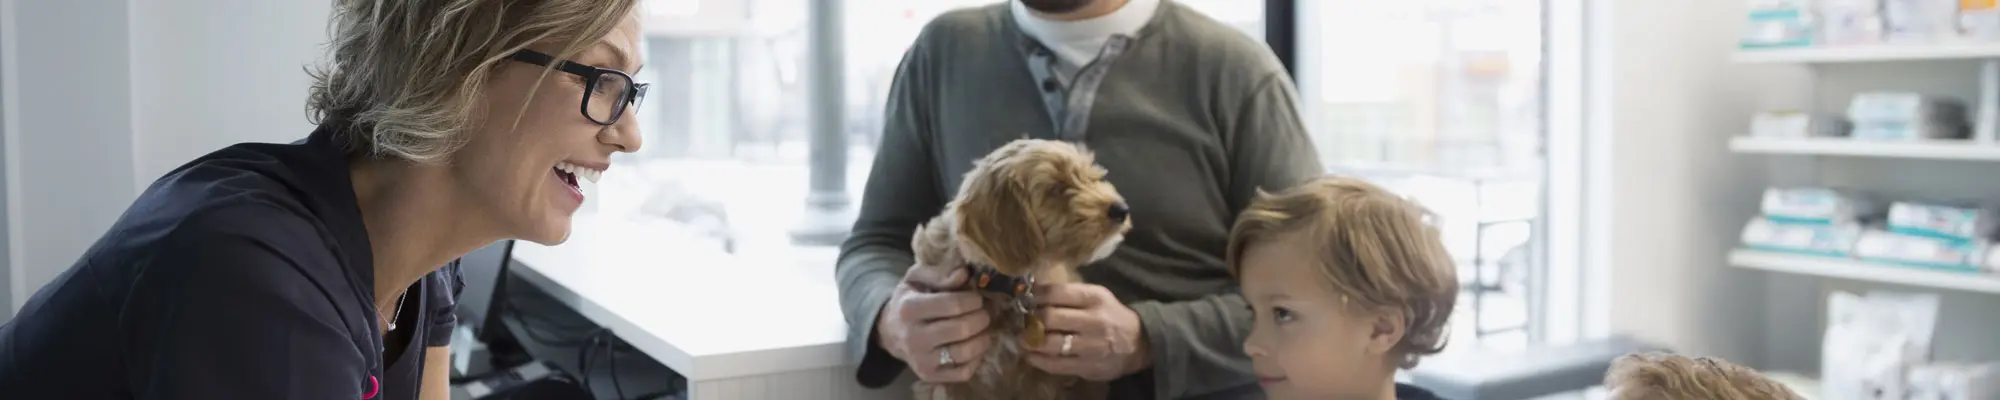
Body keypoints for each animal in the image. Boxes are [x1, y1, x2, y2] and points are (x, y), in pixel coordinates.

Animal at [909, 139, 1132, 400]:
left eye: (1091, 176)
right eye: (1056, 188)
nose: (1121, 209)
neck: (1004, 284)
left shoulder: (1042, 378)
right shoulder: (948, 381)